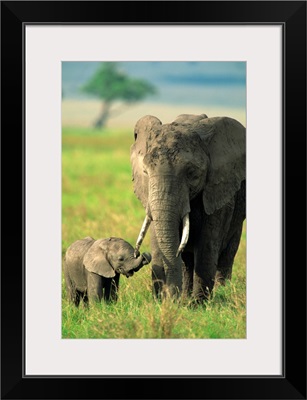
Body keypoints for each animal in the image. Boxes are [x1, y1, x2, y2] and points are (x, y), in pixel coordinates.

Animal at [131, 112, 247, 300]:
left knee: (227, 253)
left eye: (192, 173)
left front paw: (201, 303)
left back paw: (222, 292)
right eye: (146, 172)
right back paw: (186, 298)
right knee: (187, 260)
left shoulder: (217, 191)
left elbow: (207, 246)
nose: (140, 255)